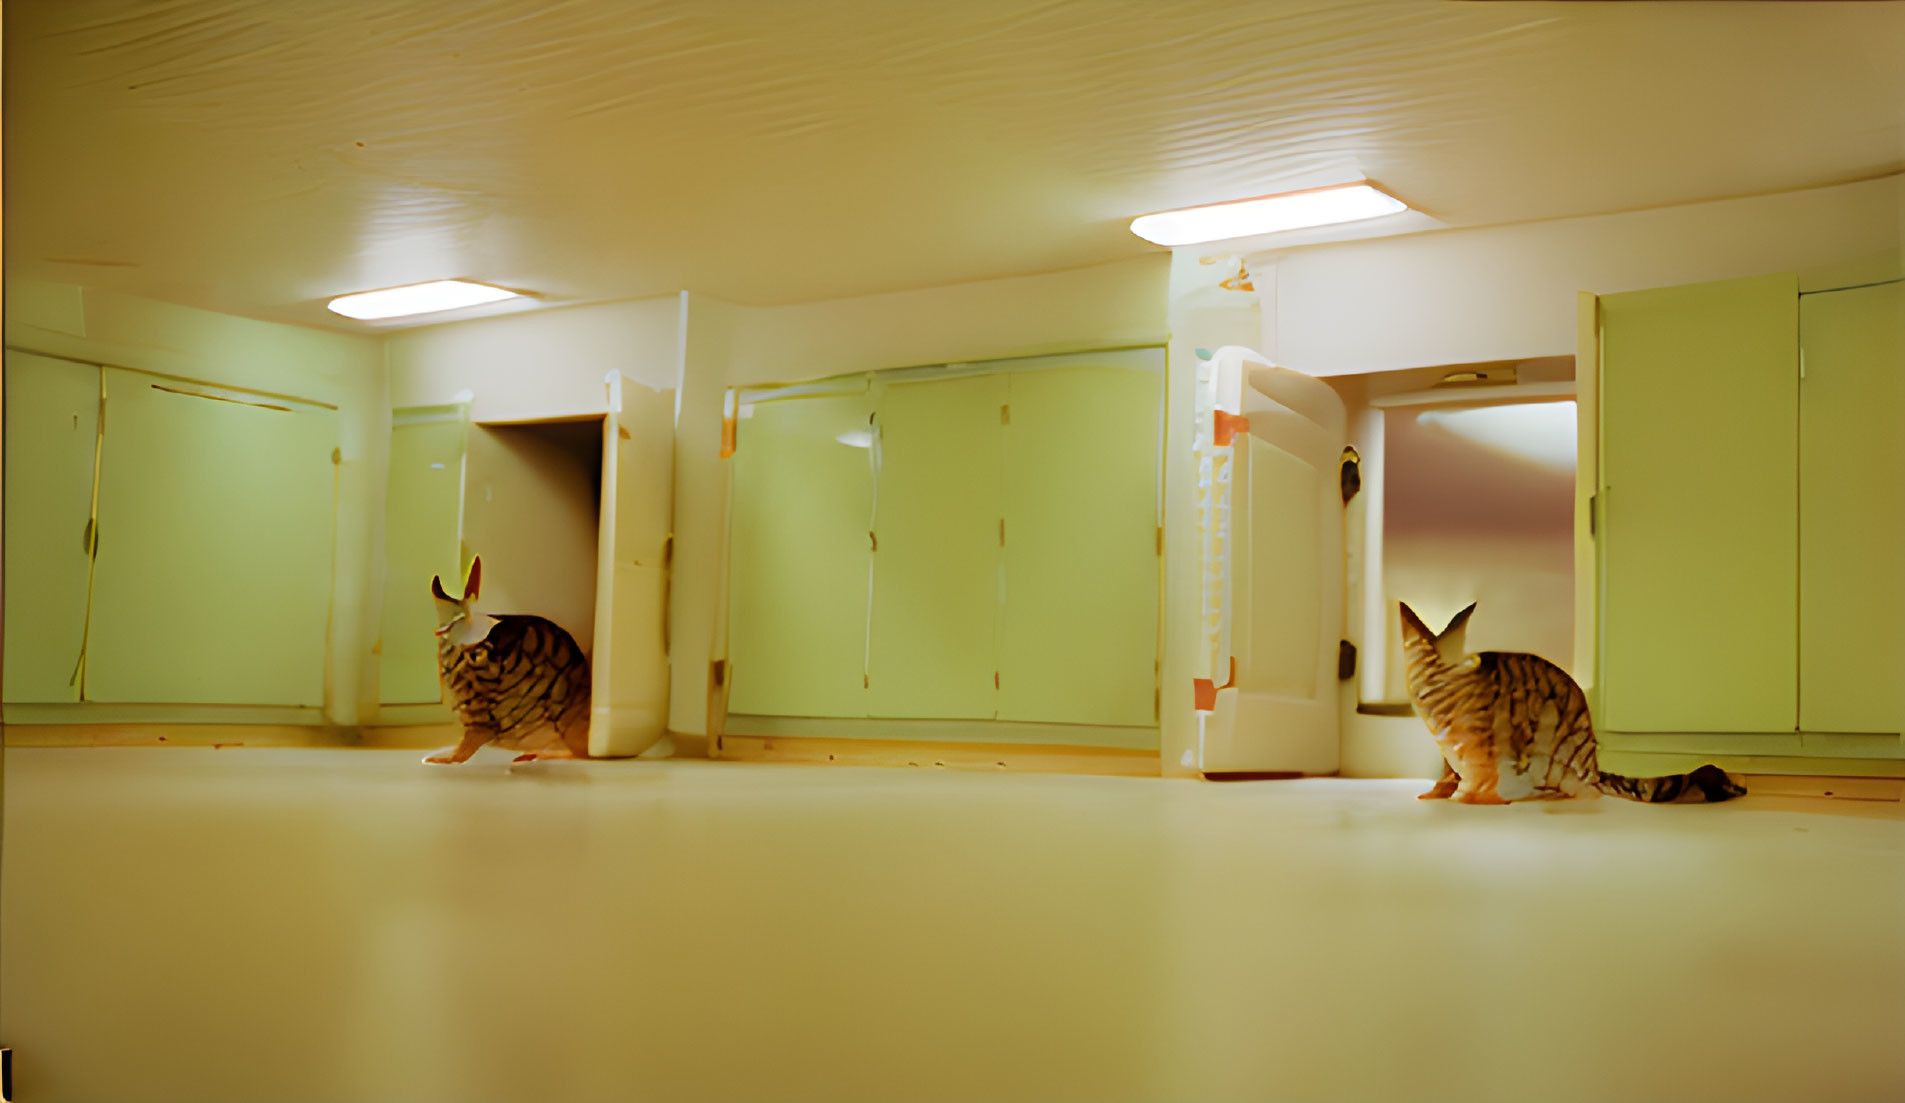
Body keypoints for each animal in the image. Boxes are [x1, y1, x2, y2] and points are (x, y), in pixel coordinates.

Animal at [1402, 605, 1744, 803]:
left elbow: (1473, 776)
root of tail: (1594, 764)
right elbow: (1450, 774)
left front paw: (1463, 796)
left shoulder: (1479, 747)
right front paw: (1440, 792)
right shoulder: (1452, 752)